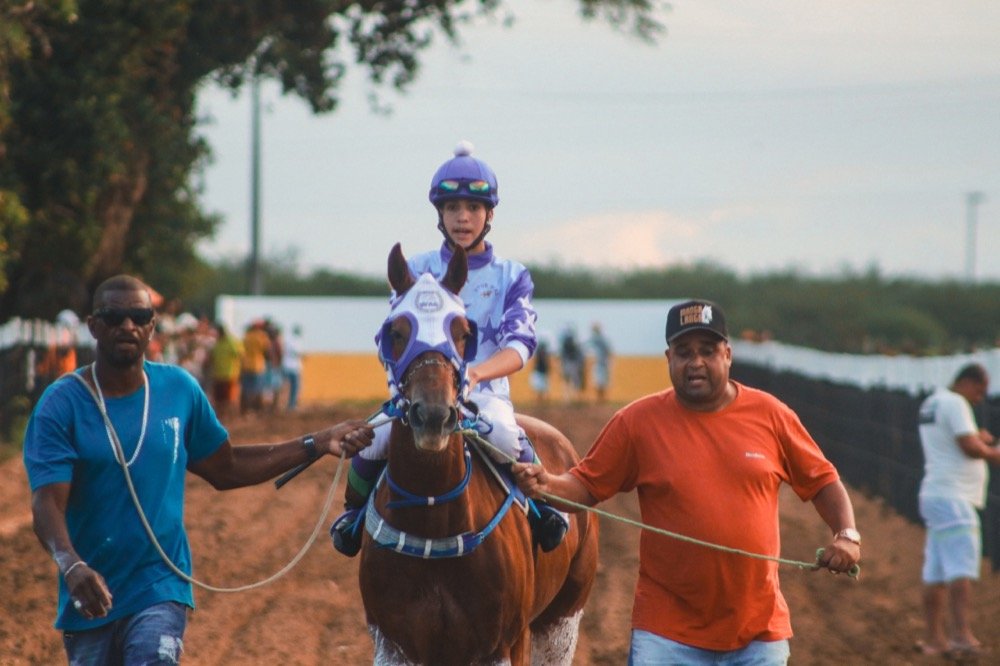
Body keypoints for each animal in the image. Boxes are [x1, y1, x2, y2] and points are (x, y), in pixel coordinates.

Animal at [356, 244, 596, 664]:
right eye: (396, 332)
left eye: (463, 332)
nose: (433, 415)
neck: (433, 518)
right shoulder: (393, 641)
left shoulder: (503, 641)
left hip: (563, 618)